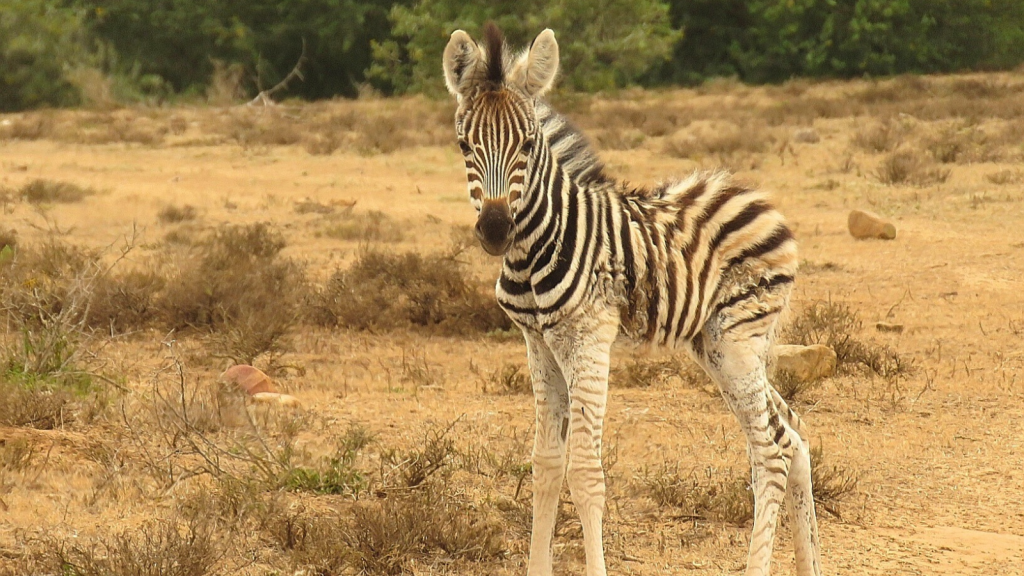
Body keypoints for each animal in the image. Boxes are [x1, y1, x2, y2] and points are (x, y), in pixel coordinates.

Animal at [442, 23, 823, 573]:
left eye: (528, 145)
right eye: (464, 145)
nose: (495, 230)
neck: (538, 244)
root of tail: (758, 197)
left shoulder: (588, 337)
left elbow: (584, 471)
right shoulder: (537, 343)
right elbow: (546, 463)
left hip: (737, 340)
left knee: (769, 452)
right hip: (716, 346)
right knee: (791, 433)